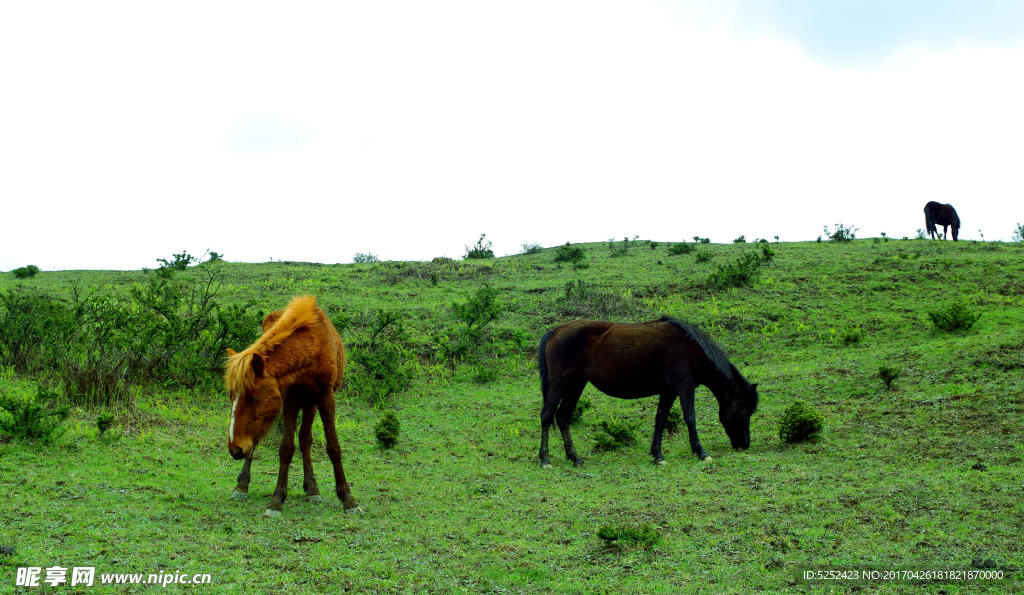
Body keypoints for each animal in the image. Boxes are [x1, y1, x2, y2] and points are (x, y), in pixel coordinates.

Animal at [224, 294, 360, 514]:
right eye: (230, 396)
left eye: (253, 397)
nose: (235, 449)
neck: (313, 346)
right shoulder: (289, 398)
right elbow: (286, 448)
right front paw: (277, 499)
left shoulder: (325, 397)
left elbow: (333, 447)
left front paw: (348, 498)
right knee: (257, 442)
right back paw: (242, 485)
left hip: (310, 403)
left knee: (305, 439)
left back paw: (312, 488)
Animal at [540, 317, 757, 466]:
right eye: (746, 409)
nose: (745, 444)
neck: (691, 348)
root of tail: (557, 330)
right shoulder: (685, 388)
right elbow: (690, 418)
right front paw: (701, 452)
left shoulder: (669, 392)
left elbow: (660, 421)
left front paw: (658, 455)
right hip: (560, 383)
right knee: (547, 415)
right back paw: (545, 460)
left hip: (576, 384)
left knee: (563, 417)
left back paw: (574, 457)